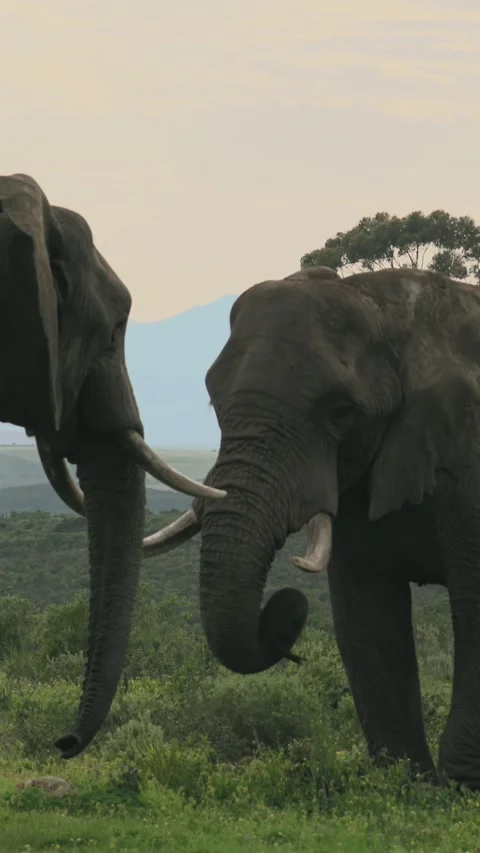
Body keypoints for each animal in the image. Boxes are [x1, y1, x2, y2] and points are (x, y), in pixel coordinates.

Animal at [144, 263, 480, 790]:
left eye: (340, 412)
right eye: (214, 402)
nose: (284, 612)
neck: (392, 311)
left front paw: (459, 788)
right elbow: (367, 618)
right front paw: (403, 785)